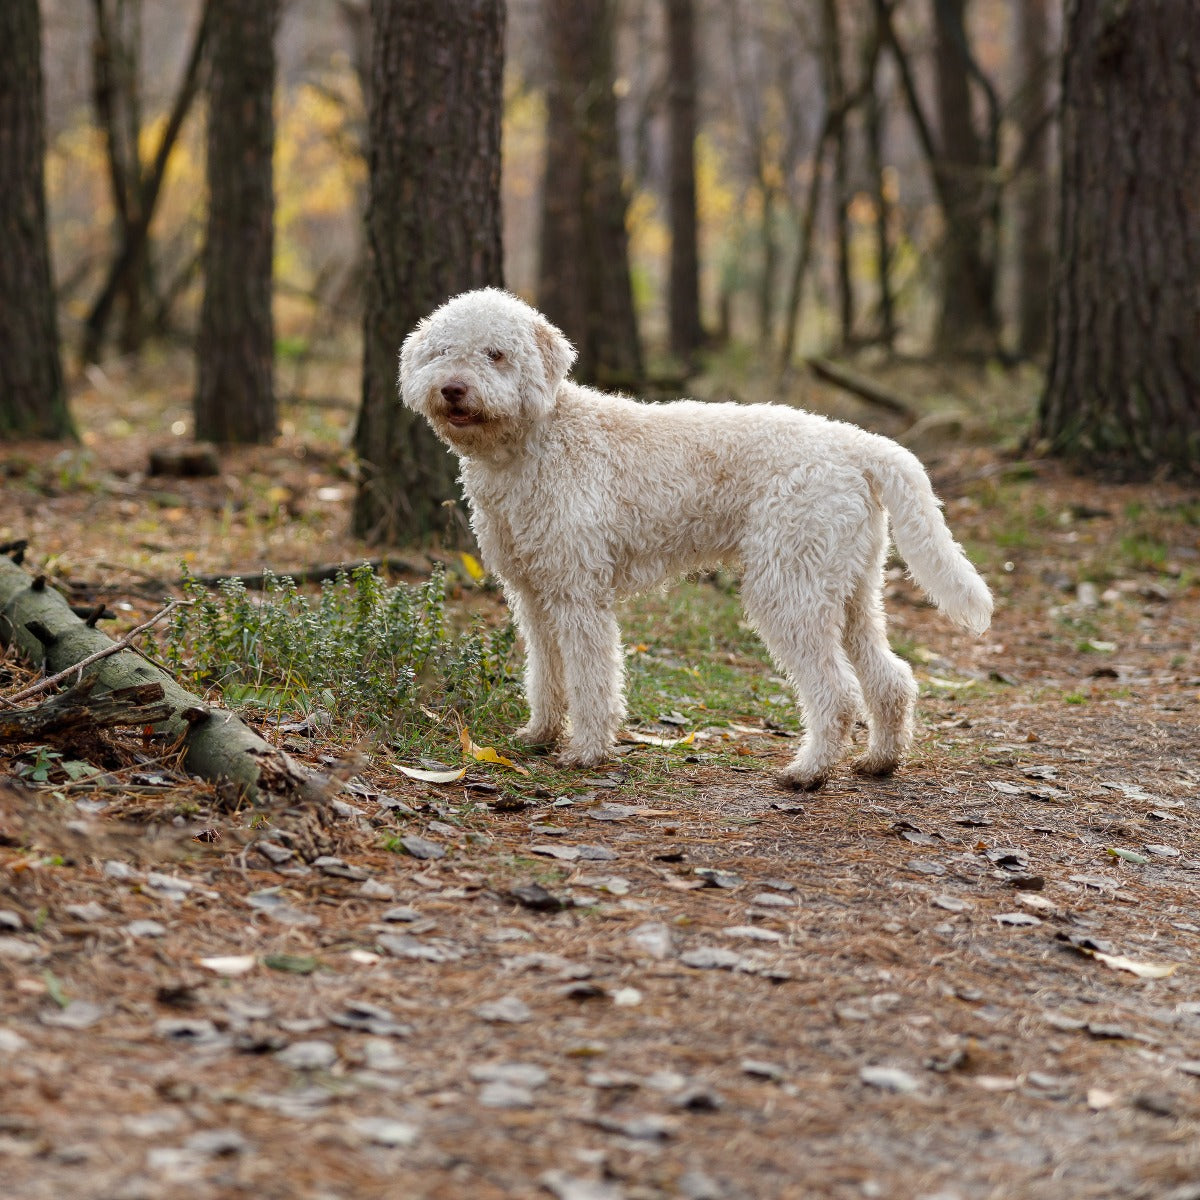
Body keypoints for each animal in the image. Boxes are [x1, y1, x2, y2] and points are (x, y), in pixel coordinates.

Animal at [398, 286, 988, 792]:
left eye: (495, 354)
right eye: (443, 352)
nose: (453, 388)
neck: (537, 441)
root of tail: (859, 445)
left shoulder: (578, 593)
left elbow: (591, 677)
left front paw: (587, 750)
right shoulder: (533, 594)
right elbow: (546, 673)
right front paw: (539, 734)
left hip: (788, 587)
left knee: (837, 693)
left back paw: (809, 771)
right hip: (849, 590)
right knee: (892, 679)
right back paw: (879, 760)